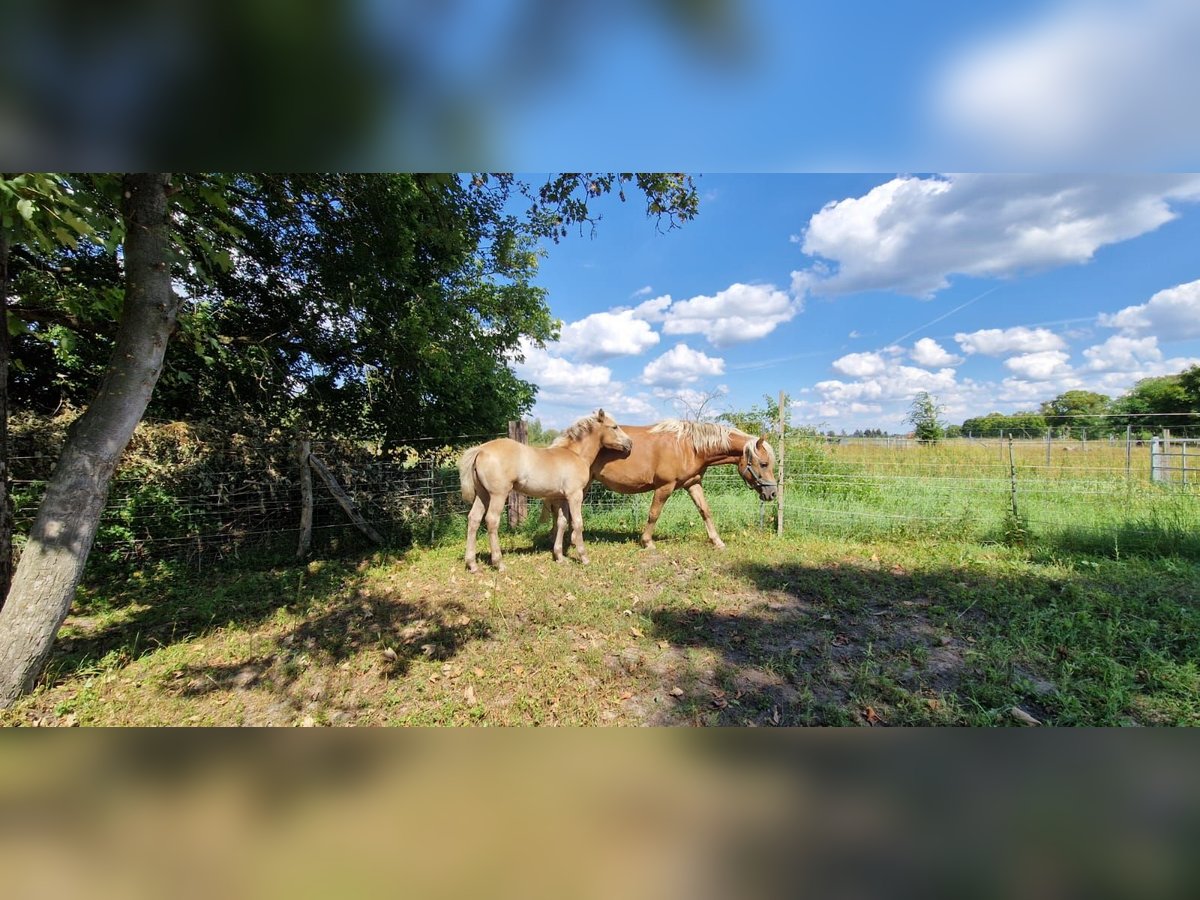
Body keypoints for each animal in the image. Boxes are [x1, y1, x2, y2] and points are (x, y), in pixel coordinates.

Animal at [453, 408, 633, 571]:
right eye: (614, 427)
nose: (630, 443)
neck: (575, 454)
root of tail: (481, 449)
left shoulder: (561, 498)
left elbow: (561, 522)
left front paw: (559, 557)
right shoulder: (574, 495)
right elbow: (577, 523)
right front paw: (584, 558)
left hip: (483, 494)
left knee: (474, 519)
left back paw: (472, 564)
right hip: (498, 494)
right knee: (491, 520)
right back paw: (499, 563)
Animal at [547, 422, 777, 549]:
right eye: (764, 464)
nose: (772, 493)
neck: (689, 447)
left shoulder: (693, 483)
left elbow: (705, 511)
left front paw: (717, 541)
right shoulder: (665, 486)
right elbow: (654, 514)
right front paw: (647, 542)